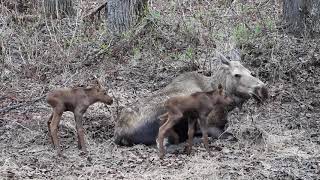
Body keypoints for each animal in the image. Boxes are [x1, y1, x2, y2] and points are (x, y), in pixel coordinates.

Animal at [114, 50, 268, 146]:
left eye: (250, 72)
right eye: (237, 74)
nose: (262, 89)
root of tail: (119, 133)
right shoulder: (209, 123)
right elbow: (230, 136)